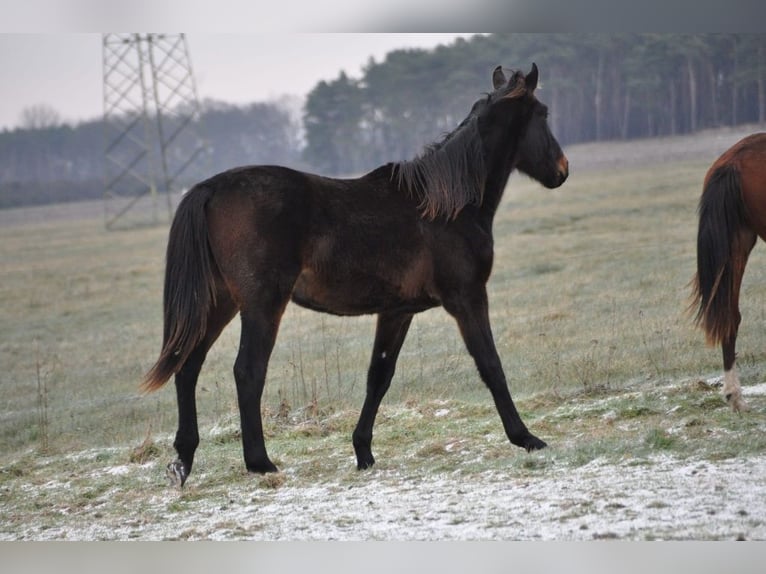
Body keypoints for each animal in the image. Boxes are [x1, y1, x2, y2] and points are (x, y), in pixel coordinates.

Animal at [144, 63, 568, 486]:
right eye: (544, 113)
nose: (562, 170)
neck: (447, 206)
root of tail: (209, 188)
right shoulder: (467, 298)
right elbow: (491, 365)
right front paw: (526, 437)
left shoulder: (397, 311)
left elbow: (379, 375)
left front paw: (363, 451)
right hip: (262, 304)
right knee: (247, 371)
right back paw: (260, 462)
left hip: (220, 302)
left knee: (187, 365)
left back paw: (183, 460)